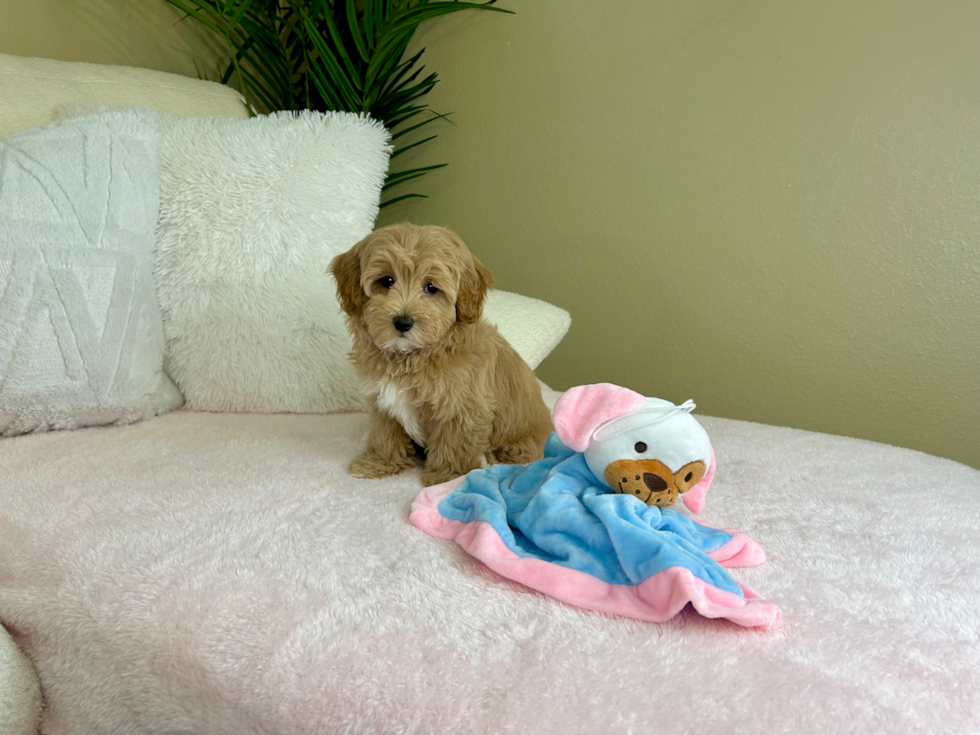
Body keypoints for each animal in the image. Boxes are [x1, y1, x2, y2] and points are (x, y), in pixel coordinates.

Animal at [334, 224, 556, 488]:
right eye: (386, 281)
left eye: (431, 288)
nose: (402, 322)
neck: (413, 356)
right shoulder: (383, 402)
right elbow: (386, 434)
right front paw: (379, 463)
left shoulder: (460, 405)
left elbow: (455, 440)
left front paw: (447, 476)